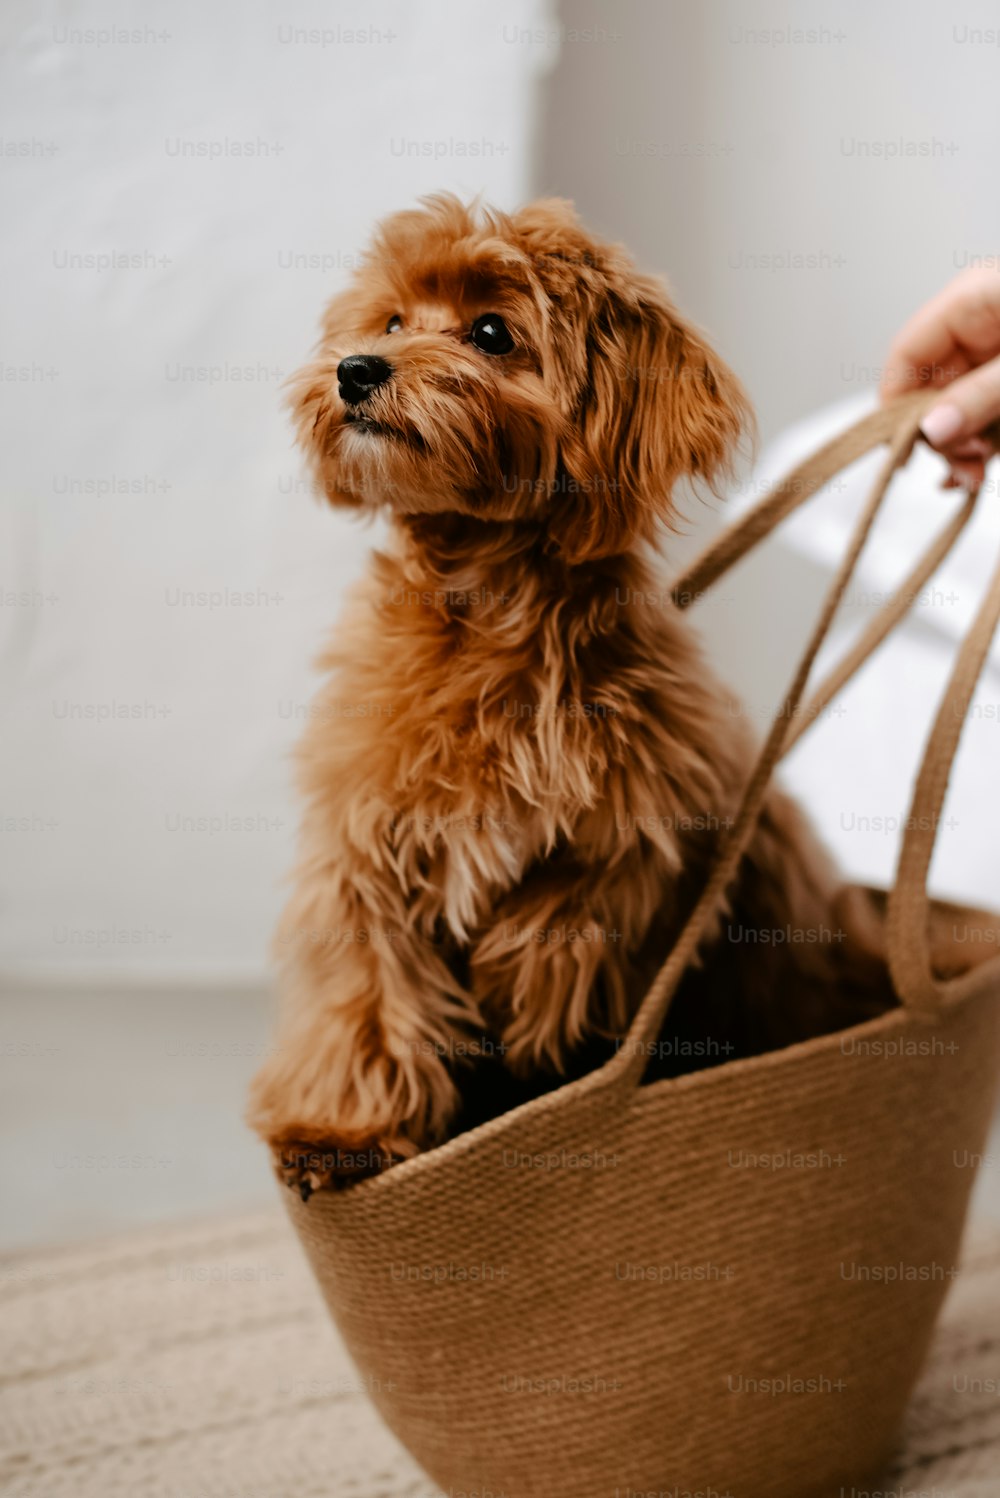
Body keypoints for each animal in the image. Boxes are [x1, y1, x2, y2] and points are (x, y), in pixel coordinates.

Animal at [251, 193, 892, 1192]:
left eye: (490, 332)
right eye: (390, 321)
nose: (356, 369)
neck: (485, 611)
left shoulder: (643, 811)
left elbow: (564, 912)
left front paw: (524, 1011)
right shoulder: (362, 842)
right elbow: (364, 988)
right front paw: (339, 1130)